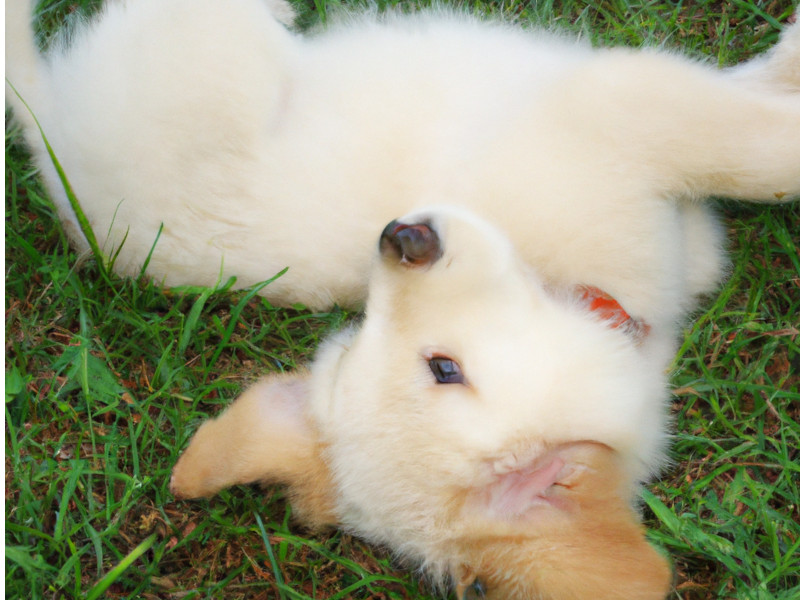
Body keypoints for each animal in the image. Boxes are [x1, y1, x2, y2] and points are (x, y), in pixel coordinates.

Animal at [7, 1, 800, 600]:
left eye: (360, 330)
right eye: (442, 368)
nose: (401, 237)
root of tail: (50, 142)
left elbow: (747, 106)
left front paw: (780, 65)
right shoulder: (619, 105)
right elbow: (763, 151)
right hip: (208, 54)